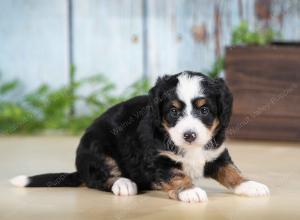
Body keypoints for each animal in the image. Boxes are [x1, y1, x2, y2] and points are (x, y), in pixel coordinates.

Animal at [11, 71, 270, 202]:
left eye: (204, 110)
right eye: (173, 111)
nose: (189, 135)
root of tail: (80, 169)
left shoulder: (216, 153)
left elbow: (231, 171)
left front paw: (250, 185)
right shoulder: (157, 159)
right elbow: (176, 174)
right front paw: (189, 190)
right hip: (97, 148)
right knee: (102, 178)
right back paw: (124, 183)